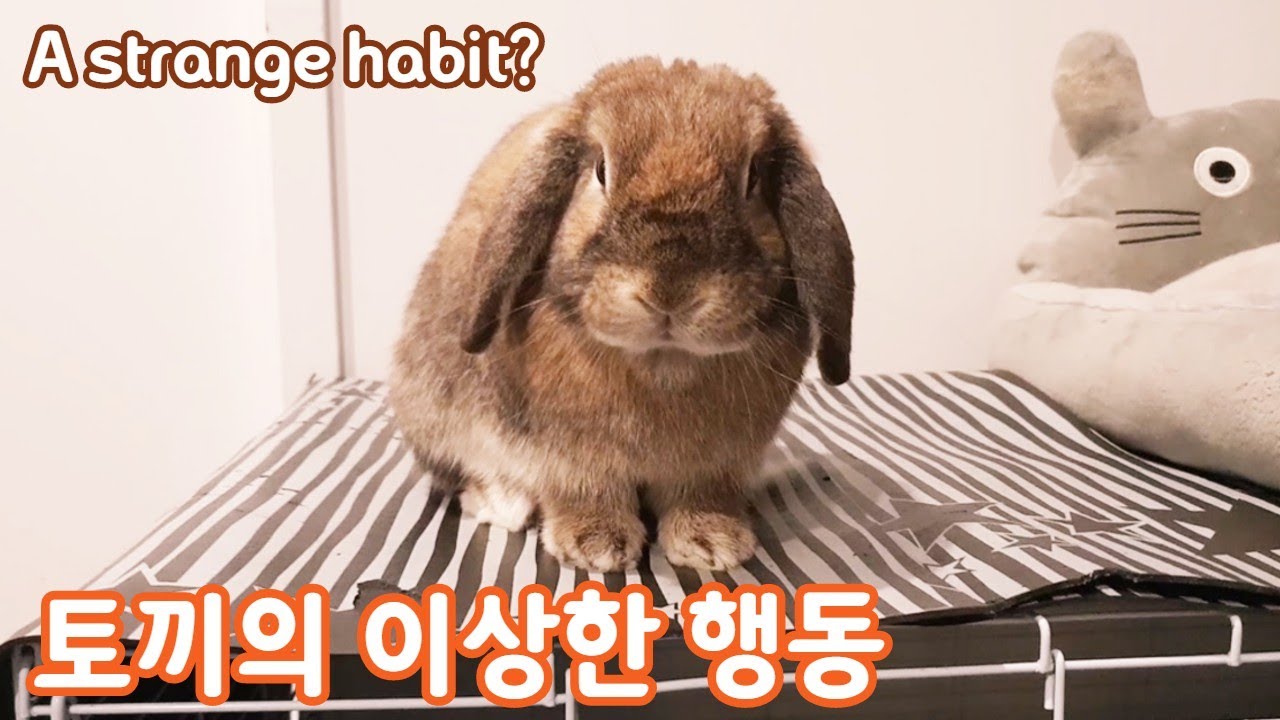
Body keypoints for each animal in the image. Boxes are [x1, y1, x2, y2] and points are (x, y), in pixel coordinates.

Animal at [388, 58, 854, 572]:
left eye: (752, 177)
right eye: (601, 170)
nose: (669, 290)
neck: (662, 361)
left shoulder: (717, 465)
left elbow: (703, 496)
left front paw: (713, 542)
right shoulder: (570, 458)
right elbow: (586, 490)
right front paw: (596, 544)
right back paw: (504, 503)